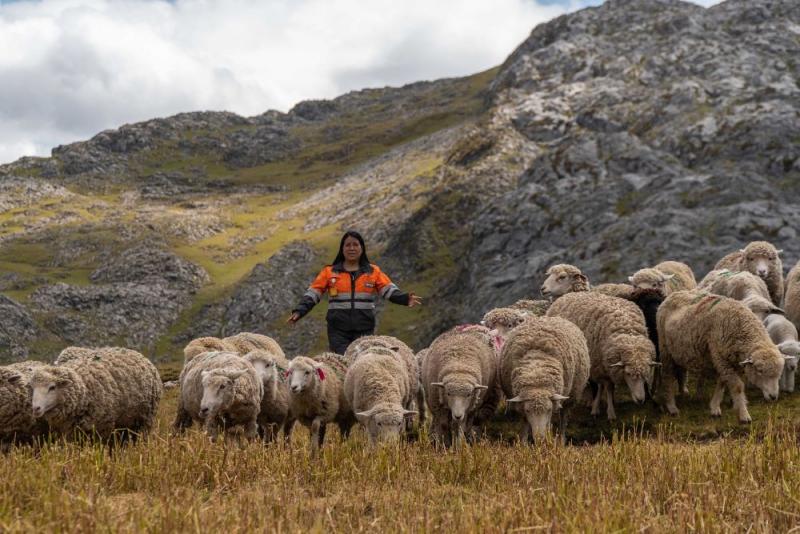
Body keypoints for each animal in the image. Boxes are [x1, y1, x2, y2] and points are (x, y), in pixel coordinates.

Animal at [31, 348, 162, 444]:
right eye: (32, 388)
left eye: (52, 387)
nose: (35, 408)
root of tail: (139, 354)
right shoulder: (70, 431)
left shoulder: (103, 428)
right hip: (126, 422)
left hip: (145, 420)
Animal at [548, 292, 660, 420]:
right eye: (628, 373)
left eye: (645, 374)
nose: (641, 400)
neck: (627, 332)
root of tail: (568, 294)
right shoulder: (597, 364)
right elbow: (603, 387)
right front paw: (602, 411)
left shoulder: (606, 365)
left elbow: (607, 387)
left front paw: (608, 409)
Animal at [660, 292, 784, 426]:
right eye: (760, 371)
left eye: (779, 374)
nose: (773, 397)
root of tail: (675, 293)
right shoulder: (720, 356)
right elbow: (737, 387)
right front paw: (744, 415)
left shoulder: (730, 361)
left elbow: (722, 383)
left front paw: (715, 407)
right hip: (665, 350)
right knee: (667, 377)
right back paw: (671, 406)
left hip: (679, 351)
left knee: (680, 371)